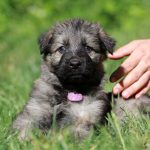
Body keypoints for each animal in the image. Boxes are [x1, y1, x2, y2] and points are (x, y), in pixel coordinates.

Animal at [12, 18, 150, 139]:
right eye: (62, 48)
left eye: (88, 48)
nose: (74, 63)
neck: (69, 90)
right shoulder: (33, 112)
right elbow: (23, 128)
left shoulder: (82, 118)